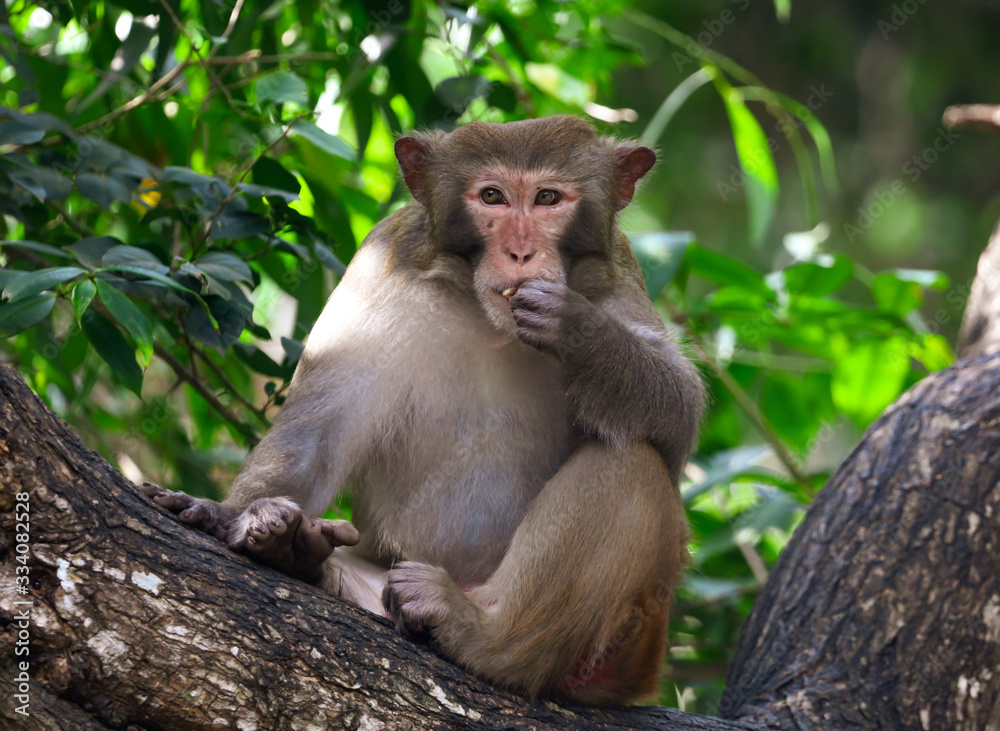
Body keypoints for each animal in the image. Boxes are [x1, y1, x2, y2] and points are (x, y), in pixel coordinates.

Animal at [141, 117, 708, 708]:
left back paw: (485, 637)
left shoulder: (617, 272)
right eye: (492, 197)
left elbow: (679, 415)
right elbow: (320, 433)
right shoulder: (384, 262)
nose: (521, 253)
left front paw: (577, 329)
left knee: (631, 461)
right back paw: (298, 555)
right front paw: (234, 515)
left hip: (629, 638)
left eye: (548, 198)